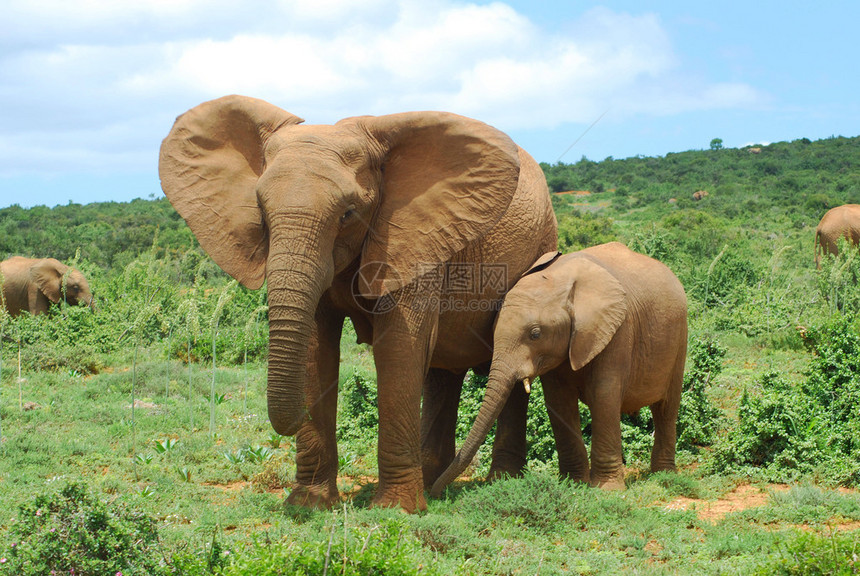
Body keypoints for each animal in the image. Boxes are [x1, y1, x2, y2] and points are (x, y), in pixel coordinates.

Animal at [160, 95, 556, 512]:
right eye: (261, 211)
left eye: (348, 213)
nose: (290, 421)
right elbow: (316, 350)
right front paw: (308, 504)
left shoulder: (411, 239)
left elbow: (398, 348)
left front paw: (395, 510)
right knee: (441, 373)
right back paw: (434, 482)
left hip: (541, 243)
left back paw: (499, 482)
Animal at [434, 243, 688, 496]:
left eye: (535, 334)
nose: (436, 492)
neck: (561, 278)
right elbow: (559, 401)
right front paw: (574, 483)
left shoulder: (618, 330)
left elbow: (604, 396)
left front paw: (607, 490)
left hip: (679, 340)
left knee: (666, 408)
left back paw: (664, 475)